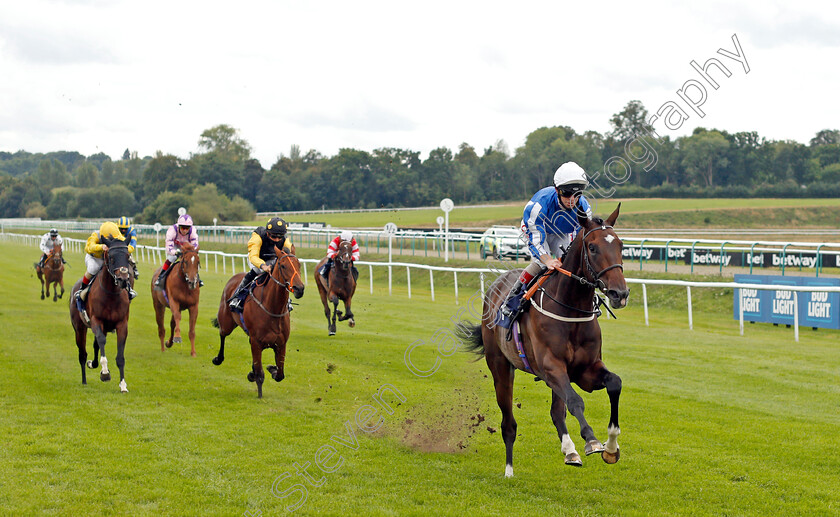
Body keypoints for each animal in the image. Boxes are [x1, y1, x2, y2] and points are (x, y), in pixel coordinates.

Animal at [69, 238, 133, 392]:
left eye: (127, 256)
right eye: (111, 257)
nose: (123, 279)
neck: (111, 294)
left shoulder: (122, 324)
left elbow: (120, 356)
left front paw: (123, 385)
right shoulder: (96, 321)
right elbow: (101, 342)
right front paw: (104, 373)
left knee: (95, 345)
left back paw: (93, 364)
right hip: (79, 328)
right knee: (82, 354)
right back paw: (85, 379)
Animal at [213, 244, 306, 398]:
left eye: (298, 264)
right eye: (283, 266)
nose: (299, 288)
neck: (273, 309)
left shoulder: (281, 344)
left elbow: (280, 374)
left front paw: (271, 369)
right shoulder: (257, 342)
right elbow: (260, 374)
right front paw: (259, 393)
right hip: (226, 323)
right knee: (222, 334)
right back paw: (218, 358)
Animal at [460, 205, 632, 476]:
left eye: (621, 245)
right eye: (592, 247)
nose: (620, 293)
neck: (571, 310)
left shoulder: (585, 370)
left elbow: (614, 383)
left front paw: (611, 448)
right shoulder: (551, 366)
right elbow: (575, 401)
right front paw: (592, 441)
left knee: (556, 412)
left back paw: (570, 451)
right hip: (500, 366)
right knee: (508, 423)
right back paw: (509, 470)